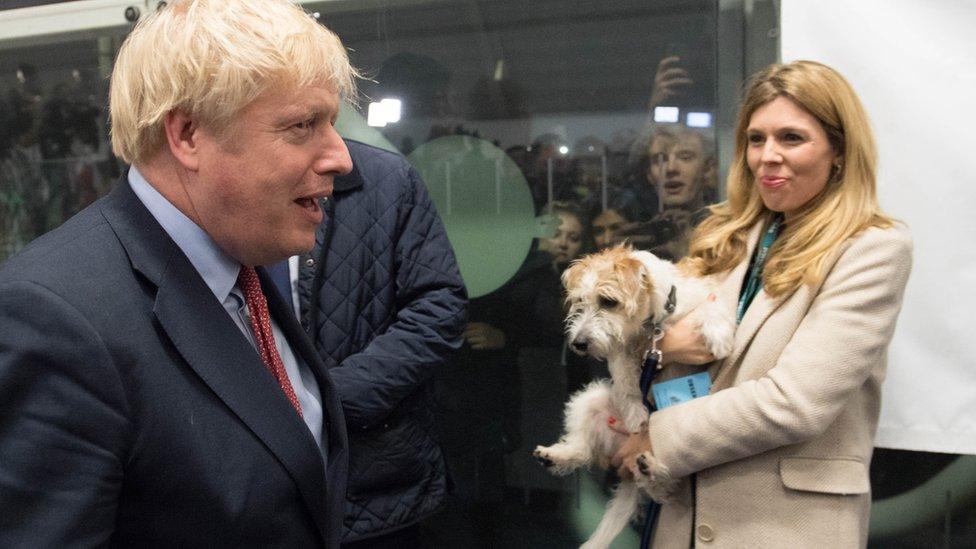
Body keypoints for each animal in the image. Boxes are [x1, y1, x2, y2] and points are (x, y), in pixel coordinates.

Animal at [532, 245, 732, 548]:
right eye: (580, 302)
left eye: (608, 301)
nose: (578, 344)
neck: (652, 324)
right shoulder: (620, 350)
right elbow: (625, 381)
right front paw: (637, 413)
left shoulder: (702, 296)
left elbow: (713, 305)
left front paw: (718, 336)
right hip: (589, 400)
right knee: (584, 449)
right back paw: (557, 456)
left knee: (665, 490)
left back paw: (651, 469)